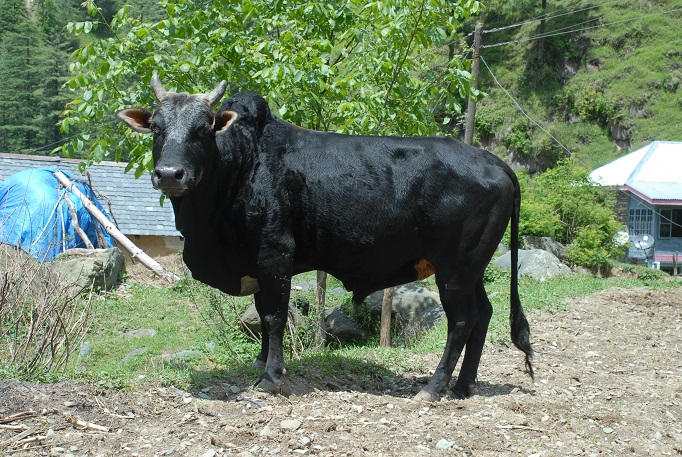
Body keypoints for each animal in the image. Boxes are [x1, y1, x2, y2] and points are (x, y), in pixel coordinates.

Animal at [117, 75, 532, 400]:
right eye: (156, 127)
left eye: (204, 128)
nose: (170, 174)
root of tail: (491, 160)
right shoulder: (256, 261)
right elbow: (262, 313)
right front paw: (259, 363)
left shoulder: (275, 253)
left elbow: (274, 315)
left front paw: (271, 377)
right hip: (470, 269)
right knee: (484, 314)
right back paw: (463, 386)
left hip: (455, 268)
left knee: (462, 320)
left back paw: (434, 386)